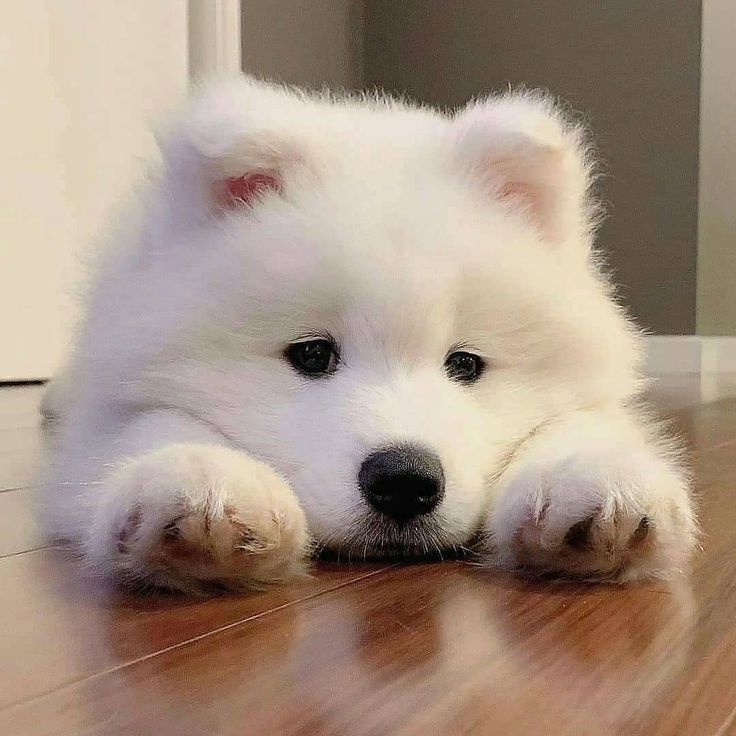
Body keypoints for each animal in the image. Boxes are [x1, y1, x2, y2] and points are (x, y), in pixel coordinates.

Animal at [40, 76, 696, 592]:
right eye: (311, 355)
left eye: (465, 365)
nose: (404, 481)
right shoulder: (113, 411)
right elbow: (154, 427)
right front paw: (205, 484)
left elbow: (575, 425)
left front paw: (591, 482)